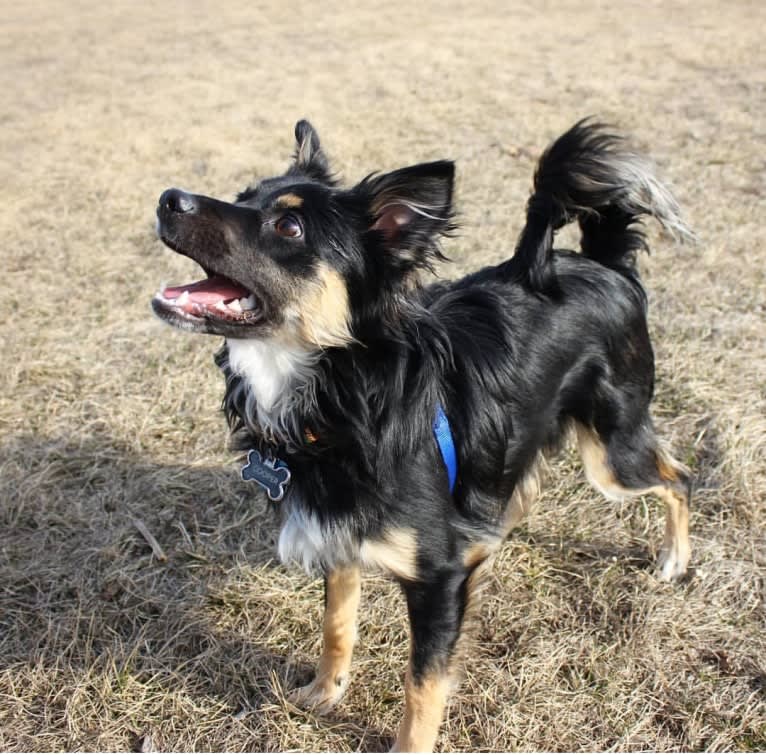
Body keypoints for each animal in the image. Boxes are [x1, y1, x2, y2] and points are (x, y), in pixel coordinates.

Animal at [153, 118, 692, 752]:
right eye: (243, 195)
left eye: (288, 226)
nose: (168, 198)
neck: (338, 395)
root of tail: (605, 265)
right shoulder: (340, 533)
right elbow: (337, 625)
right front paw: (324, 693)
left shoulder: (436, 580)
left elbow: (423, 683)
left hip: (613, 451)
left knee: (679, 478)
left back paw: (673, 560)